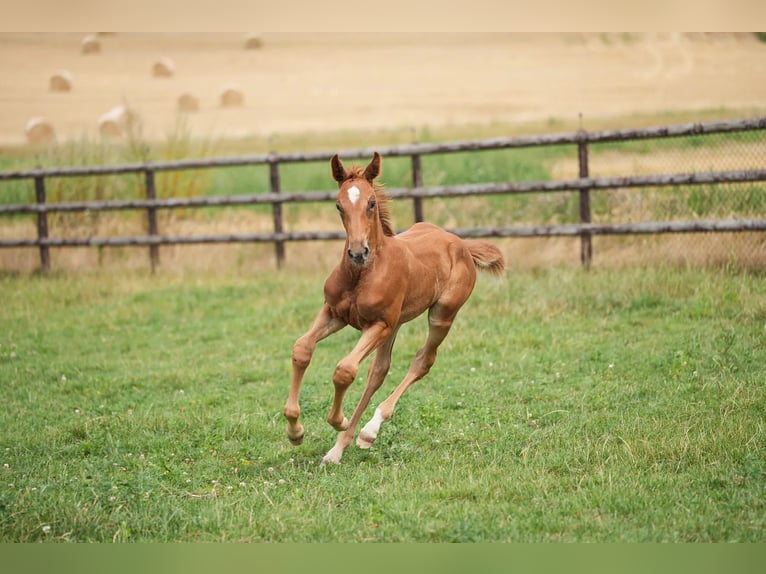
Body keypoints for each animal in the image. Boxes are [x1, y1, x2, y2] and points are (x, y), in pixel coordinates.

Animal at [283, 152, 505, 465]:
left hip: (441, 315)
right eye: (338, 204)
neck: (363, 273)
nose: (357, 252)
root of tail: (460, 243)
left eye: (371, 202)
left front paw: (338, 420)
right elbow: (302, 348)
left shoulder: (378, 324)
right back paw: (343, 446)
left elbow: (345, 370)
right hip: (397, 322)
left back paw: (366, 431)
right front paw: (295, 431)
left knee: (423, 361)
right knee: (379, 370)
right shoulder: (334, 313)